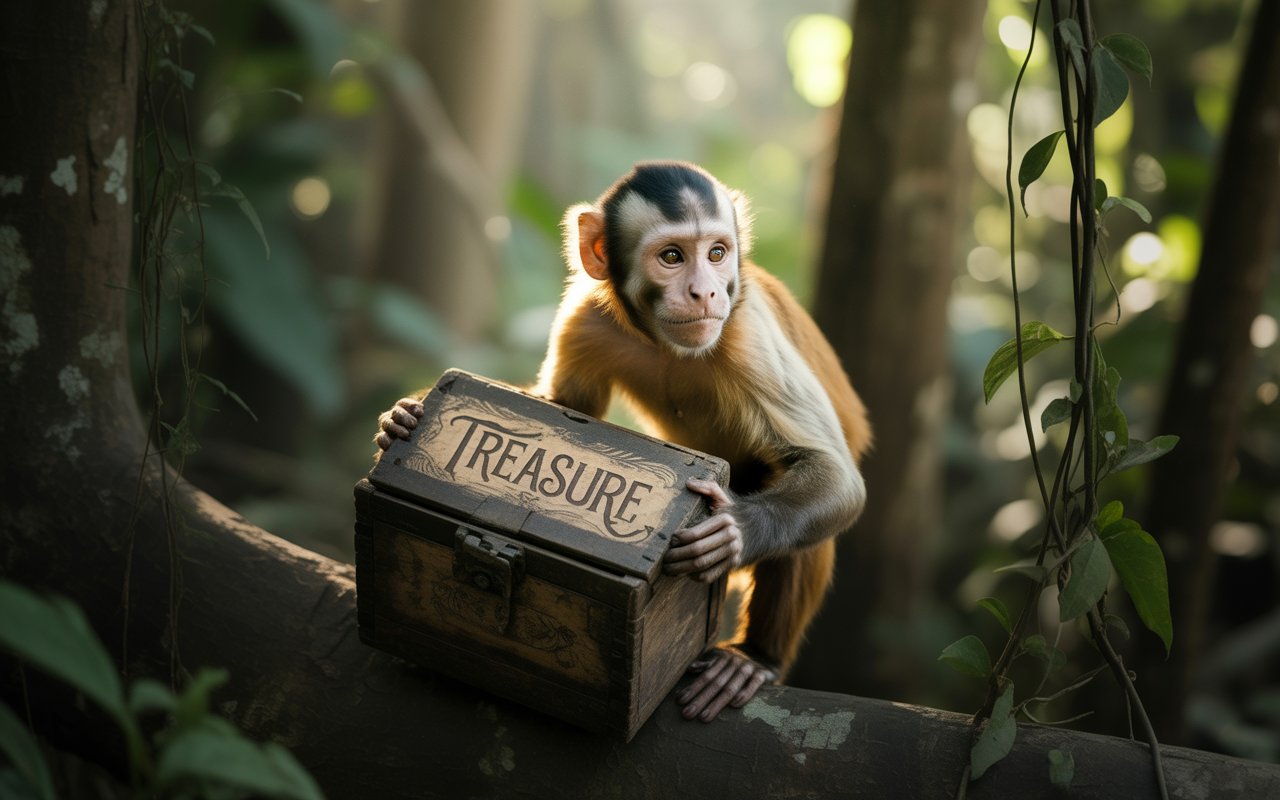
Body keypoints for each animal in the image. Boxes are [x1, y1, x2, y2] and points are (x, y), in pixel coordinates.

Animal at [377, 161, 870, 723]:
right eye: (672, 256)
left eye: (716, 253)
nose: (705, 293)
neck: (662, 342)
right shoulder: (586, 319)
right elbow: (562, 403)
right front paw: (403, 417)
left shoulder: (748, 337)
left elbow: (833, 472)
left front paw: (735, 531)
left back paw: (752, 658)